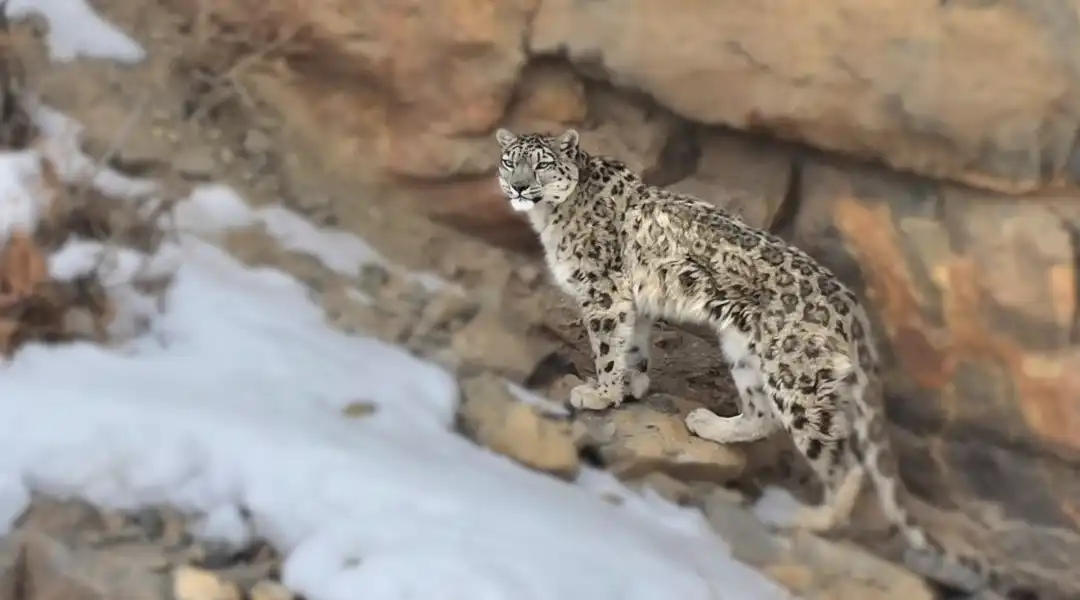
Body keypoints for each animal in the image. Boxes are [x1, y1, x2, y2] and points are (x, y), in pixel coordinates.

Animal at [494, 126, 1040, 599]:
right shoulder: (634, 303)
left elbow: (609, 346)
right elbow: (635, 347)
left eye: (542, 164)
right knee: (762, 414)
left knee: (842, 460)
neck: (553, 219)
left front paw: (599, 392)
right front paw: (630, 386)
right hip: (743, 351)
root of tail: (853, 309)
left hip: (796, 379)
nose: (519, 186)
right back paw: (710, 424)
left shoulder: (603, 293)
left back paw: (809, 520)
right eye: (509, 160)